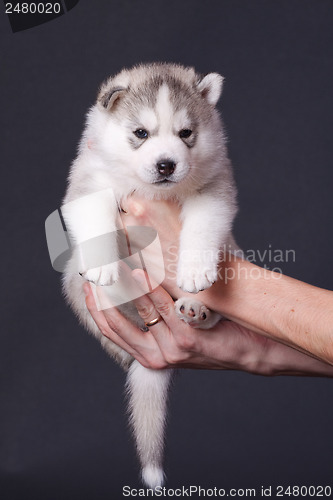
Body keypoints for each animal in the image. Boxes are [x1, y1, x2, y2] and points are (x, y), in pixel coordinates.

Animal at [62, 63, 237, 488]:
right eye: (141, 133)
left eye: (186, 133)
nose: (166, 164)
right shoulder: (88, 184)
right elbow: (94, 215)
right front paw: (104, 264)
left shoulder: (214, 190)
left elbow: (203, 227)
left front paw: (194, 272)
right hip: (74, 280)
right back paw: (125, 278)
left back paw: (196, 309)